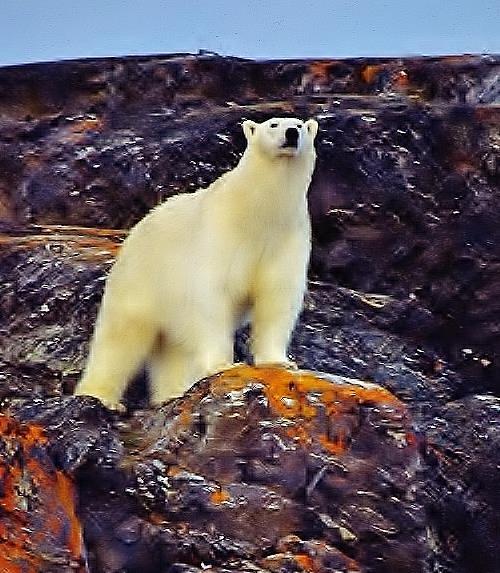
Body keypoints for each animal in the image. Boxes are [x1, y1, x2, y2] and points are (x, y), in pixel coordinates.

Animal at [74, 116, 318, 408]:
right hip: (141, 279)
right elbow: (214, 296)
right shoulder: (221, 232)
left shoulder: (286, 238)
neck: (259, 211)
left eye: (301, 125)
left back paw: (173, 393)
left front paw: (280, 362)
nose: (291, 133)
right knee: (120, 338)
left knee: (174, 352)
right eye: (273, 125)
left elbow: (277, 297)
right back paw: (102, 397)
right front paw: (223, 365)